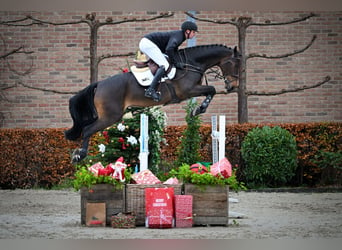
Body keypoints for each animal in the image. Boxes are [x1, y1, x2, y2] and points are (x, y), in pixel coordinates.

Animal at [64, 44, 240, 163]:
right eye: (233, 64)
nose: (233, 87)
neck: (191, 63)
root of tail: (99, 84)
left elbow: (210, 91)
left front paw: (197, 110)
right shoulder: (188, 91)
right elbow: (212, 90)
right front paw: (198, 110)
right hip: (110, 116)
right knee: (87, 130)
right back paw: (79, 155)